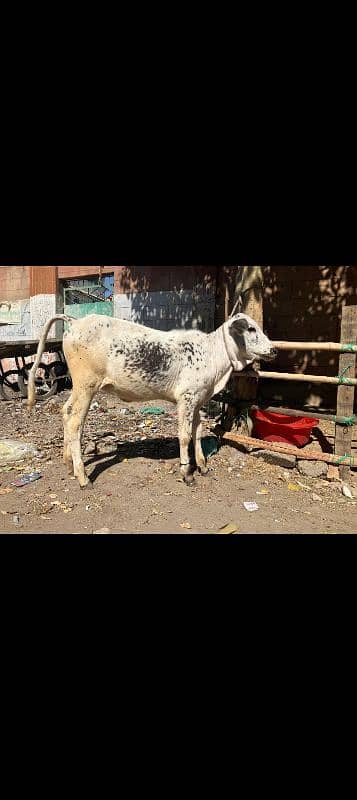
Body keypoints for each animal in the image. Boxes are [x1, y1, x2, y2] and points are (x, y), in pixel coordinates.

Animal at [27, 312, 276, 488]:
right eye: (250, 328)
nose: (273, 349)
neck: (213, 356)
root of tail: (76, 321)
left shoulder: (198, 401)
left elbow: (197, 433)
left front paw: (202, 467)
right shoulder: (186, 399)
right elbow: (185, 436)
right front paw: (186, 473)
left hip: (79, 389)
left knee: (65, 412)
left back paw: (69, 464)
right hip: (86, 386)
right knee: (75, 424)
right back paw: (83, 477)